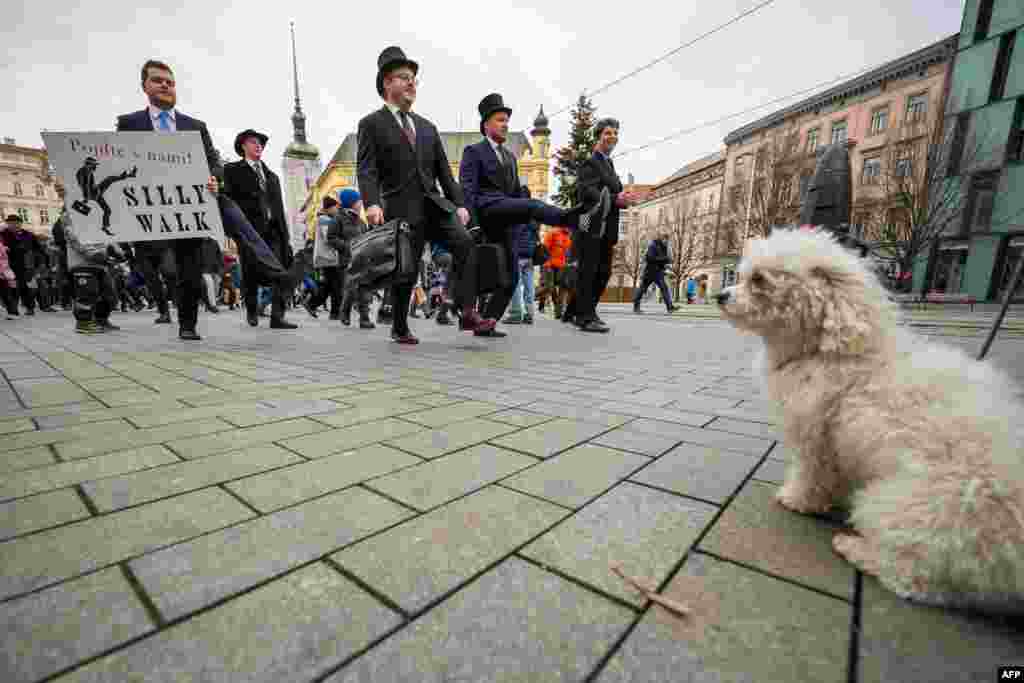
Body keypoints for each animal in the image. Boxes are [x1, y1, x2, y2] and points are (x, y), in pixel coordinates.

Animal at [716, 229, 1019, 614]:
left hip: (914, 508)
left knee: (911, 577)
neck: (831, 347)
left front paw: (798, 500)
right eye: (741, 275)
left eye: (758, 280)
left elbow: (811, 475)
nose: (719, 295)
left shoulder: (815, 437)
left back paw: (853, 547)